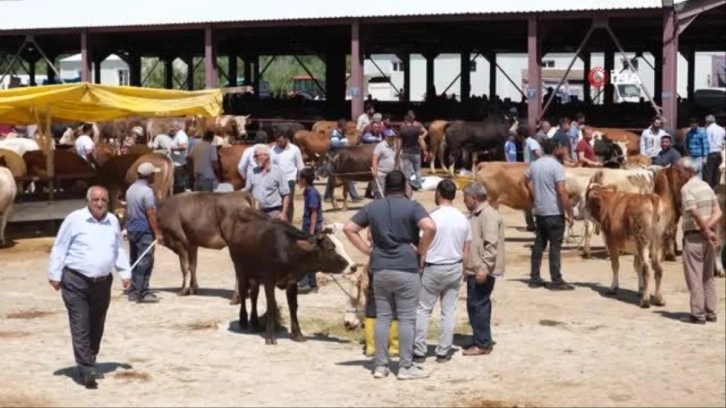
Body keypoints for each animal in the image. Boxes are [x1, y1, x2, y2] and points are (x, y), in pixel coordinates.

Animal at [228, 207, 352, 344]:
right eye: (330, 248)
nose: (354, 266)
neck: (287, 250)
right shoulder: (269, 280)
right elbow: (271, 306)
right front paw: (270, 336)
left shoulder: (292, 281)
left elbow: (293, 306)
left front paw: (297, 334)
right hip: (241, 270)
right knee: (243, 292)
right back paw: (243, 320)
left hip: (255, 276)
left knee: (254, 295)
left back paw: (255, 323)